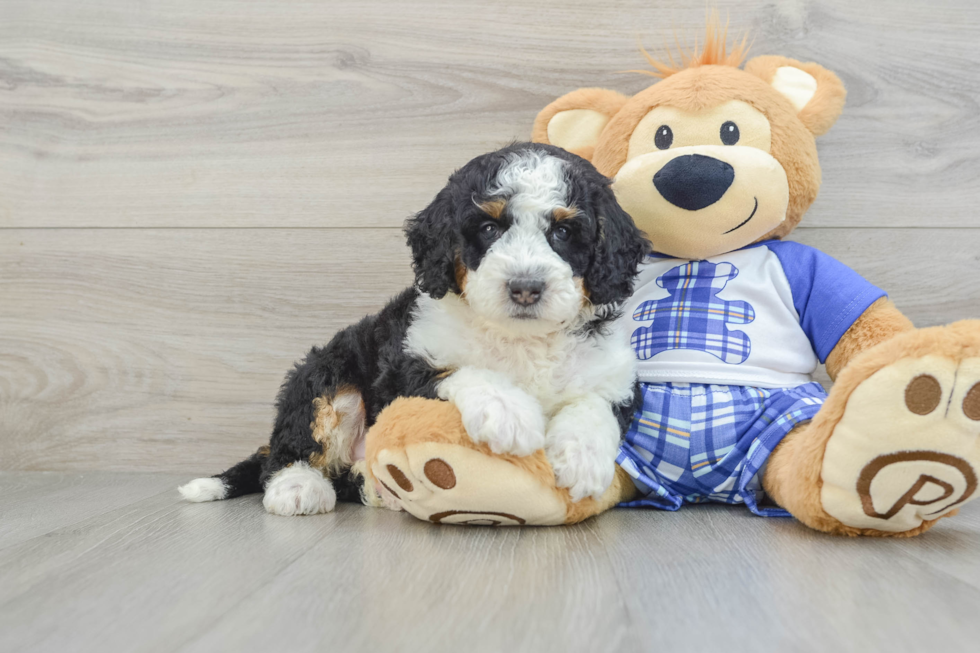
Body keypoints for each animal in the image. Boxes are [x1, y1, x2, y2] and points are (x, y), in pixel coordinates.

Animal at [178, 143, 652, 516]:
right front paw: (509, 411)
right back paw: (298, 487)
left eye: (565, 231)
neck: (521, 340)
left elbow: (595, 402)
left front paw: (583, 457)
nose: (525, 288)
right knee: (291, 445)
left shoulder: (614, 373)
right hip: (327, 372)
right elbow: (460, 370)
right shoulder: (406, 362)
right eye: (488, 228)